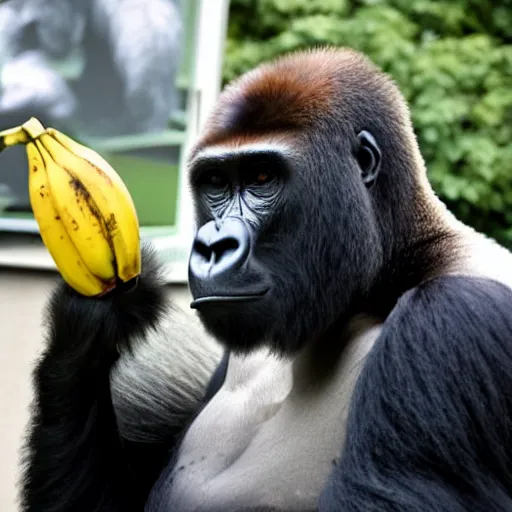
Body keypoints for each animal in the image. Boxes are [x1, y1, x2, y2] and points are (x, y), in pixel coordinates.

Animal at [18, 48, 512, 512]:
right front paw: (91, 325)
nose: (213, 245)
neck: (395, 270)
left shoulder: (452, 324)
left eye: (261, 176)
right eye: (215, 182)